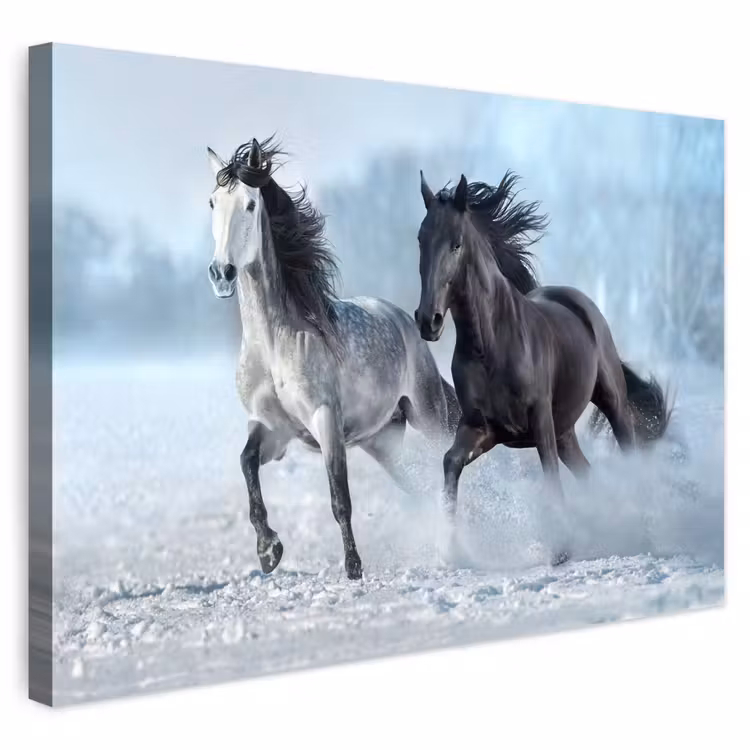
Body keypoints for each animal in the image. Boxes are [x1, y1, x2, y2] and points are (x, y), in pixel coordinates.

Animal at [205, 137, 460, 580]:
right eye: (212, 202)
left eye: (251, 205)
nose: (222, 273)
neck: (273, 345)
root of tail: (405, 320)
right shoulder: (271, 428)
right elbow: (246, 463)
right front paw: (268, 551)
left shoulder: (325, 420)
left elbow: (340, 497)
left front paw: (354, 567)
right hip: (382, 442)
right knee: (421, 485)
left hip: (428, 416)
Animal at [414, 170, 671, 565]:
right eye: (420, 240)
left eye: (456, 244)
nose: (429, 320)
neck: (491, 346)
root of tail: (578, 301)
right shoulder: (482, 428)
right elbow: (450, 463)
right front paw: (451, 548)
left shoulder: (539, 422)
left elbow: (550, 477)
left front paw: (562, 549)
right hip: (565, 431)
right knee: (587, 473)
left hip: (609, 401)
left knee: (626, 454)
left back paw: (639, 533)